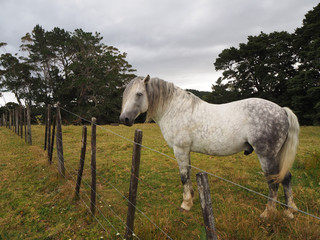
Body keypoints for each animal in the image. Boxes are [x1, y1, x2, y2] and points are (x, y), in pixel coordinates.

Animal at [119, 75, 298, 219]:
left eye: (139, 94)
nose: (124, 119)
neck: (174, 109)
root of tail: (281, 110)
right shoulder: (186, 151)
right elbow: (189, 174)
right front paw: (191, 198)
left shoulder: (180, 150)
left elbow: (184, 176)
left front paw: (186, 204)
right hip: (277, 155)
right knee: (286, 178)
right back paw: (289, 211)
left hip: (266, 155)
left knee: (273, 182)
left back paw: (268, 213)